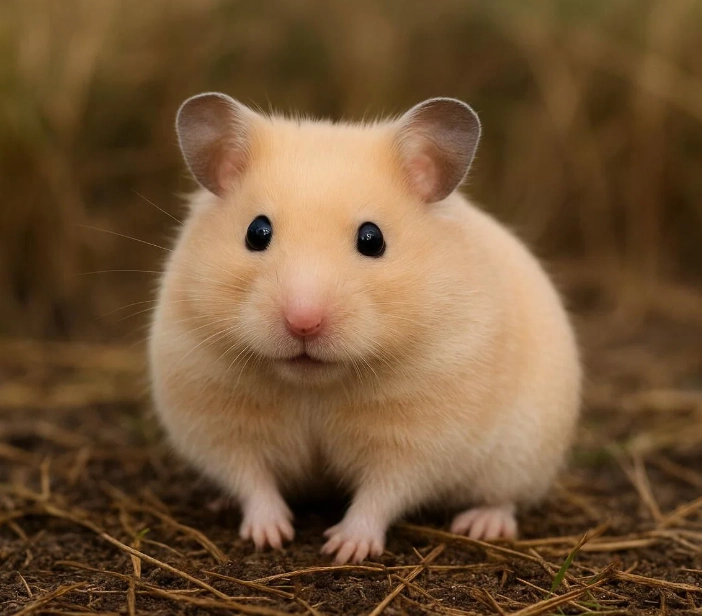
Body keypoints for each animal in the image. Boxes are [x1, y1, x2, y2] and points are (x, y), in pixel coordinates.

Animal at [148, 93, 581, 564]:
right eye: (256, 232)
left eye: (372, 239)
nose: (303, 322)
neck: (313, 385)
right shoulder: (220, 422)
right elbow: (253, 480)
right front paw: (270, 536)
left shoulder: (417, 438)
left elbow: (382, 493)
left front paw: (345, 549)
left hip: (522, 456)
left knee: (504, 498)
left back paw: (481, 524)